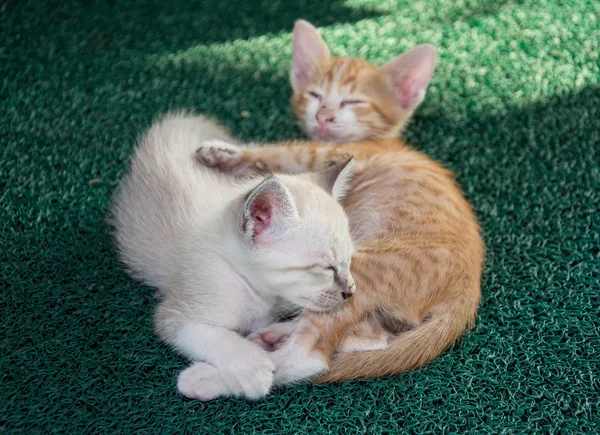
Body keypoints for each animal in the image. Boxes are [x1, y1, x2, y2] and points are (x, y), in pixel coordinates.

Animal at [109, 113, 356, 402]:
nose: (351, 291)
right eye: (326, 268)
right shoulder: (175, 314)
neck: (260, 293)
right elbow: (215, 335)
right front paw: (253, 369)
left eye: (349, 261)